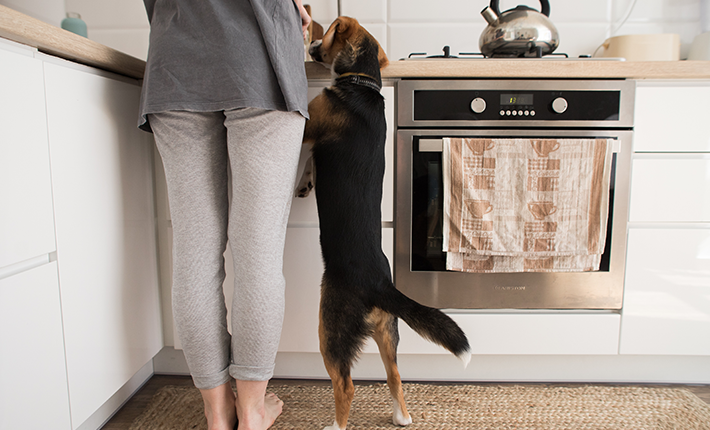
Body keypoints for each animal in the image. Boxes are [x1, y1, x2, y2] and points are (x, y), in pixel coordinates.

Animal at [298, 16, 472, 430]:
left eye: (327, 31)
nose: (310, 43)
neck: (363, 81)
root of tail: (379, 284)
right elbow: (310, 162)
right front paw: (306, 182)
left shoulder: (311, 125)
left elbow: (306, 142)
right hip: (387, 331)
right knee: (395, 375)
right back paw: (401, 417)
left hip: (330, 327)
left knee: (345, 385)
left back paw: (335, 424)